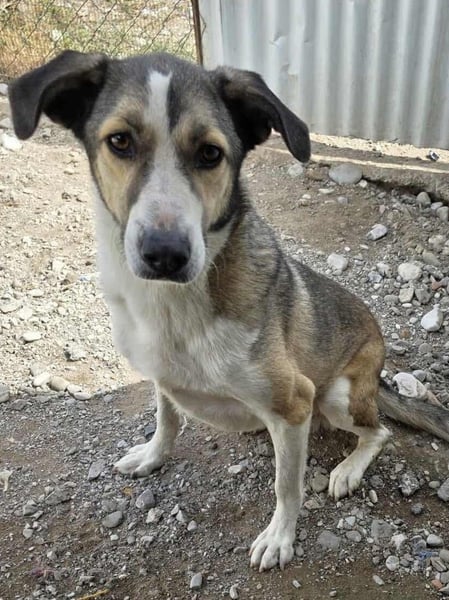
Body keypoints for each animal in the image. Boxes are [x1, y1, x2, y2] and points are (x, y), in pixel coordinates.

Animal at [9, 51, 449, 572]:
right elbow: (167, 419)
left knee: (379, 433)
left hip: (337, 397)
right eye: (120, 141)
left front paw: (280, 537)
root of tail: (378, 377)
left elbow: (287, 486)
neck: (174, 304)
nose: (165, 254)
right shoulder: (162, 377)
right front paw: (153, 455)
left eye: (210, 154)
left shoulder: (294, 403)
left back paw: (347, 470)